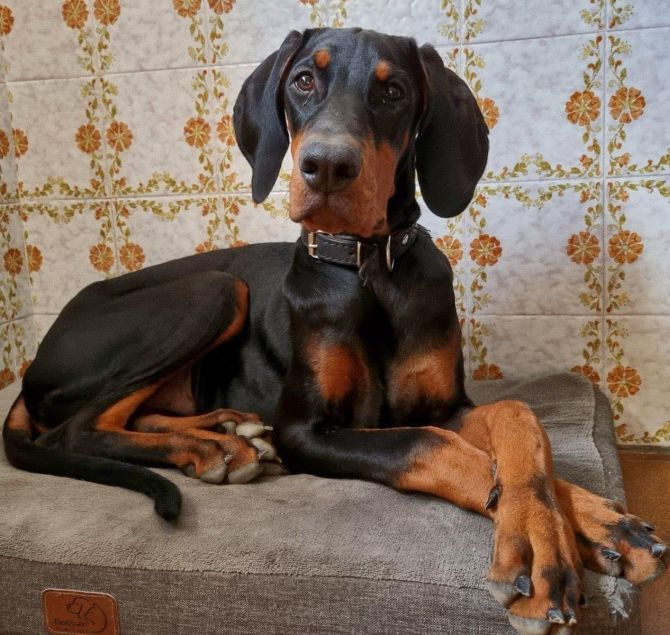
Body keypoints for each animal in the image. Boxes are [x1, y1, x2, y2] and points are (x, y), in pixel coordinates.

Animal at [3, 28, 667, 633]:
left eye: (393, 92)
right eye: (302, 81)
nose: (326, 166)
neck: (371, 269)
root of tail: (33, 364)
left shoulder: (445, 403)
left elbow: (515, 417)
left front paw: (597, 523)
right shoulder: (309, 430)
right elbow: (425, 443)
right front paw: (535, 548)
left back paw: (230, 432)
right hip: (216, 288)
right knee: (76, 429)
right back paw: (213, 447)